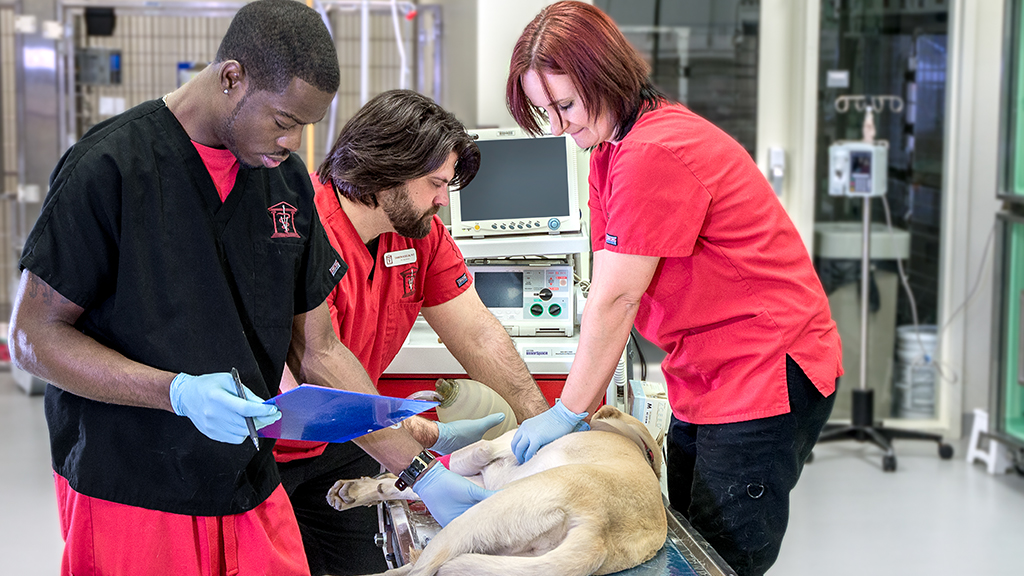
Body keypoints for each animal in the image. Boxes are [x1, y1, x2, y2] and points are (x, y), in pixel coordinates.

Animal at [325, 403, 663, 573]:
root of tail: (599, 531)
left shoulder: (490, 458)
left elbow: (458, 459)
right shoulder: (481, 478)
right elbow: (408, 486)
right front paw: (358, 491)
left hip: (473, 521)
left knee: (418, 569)